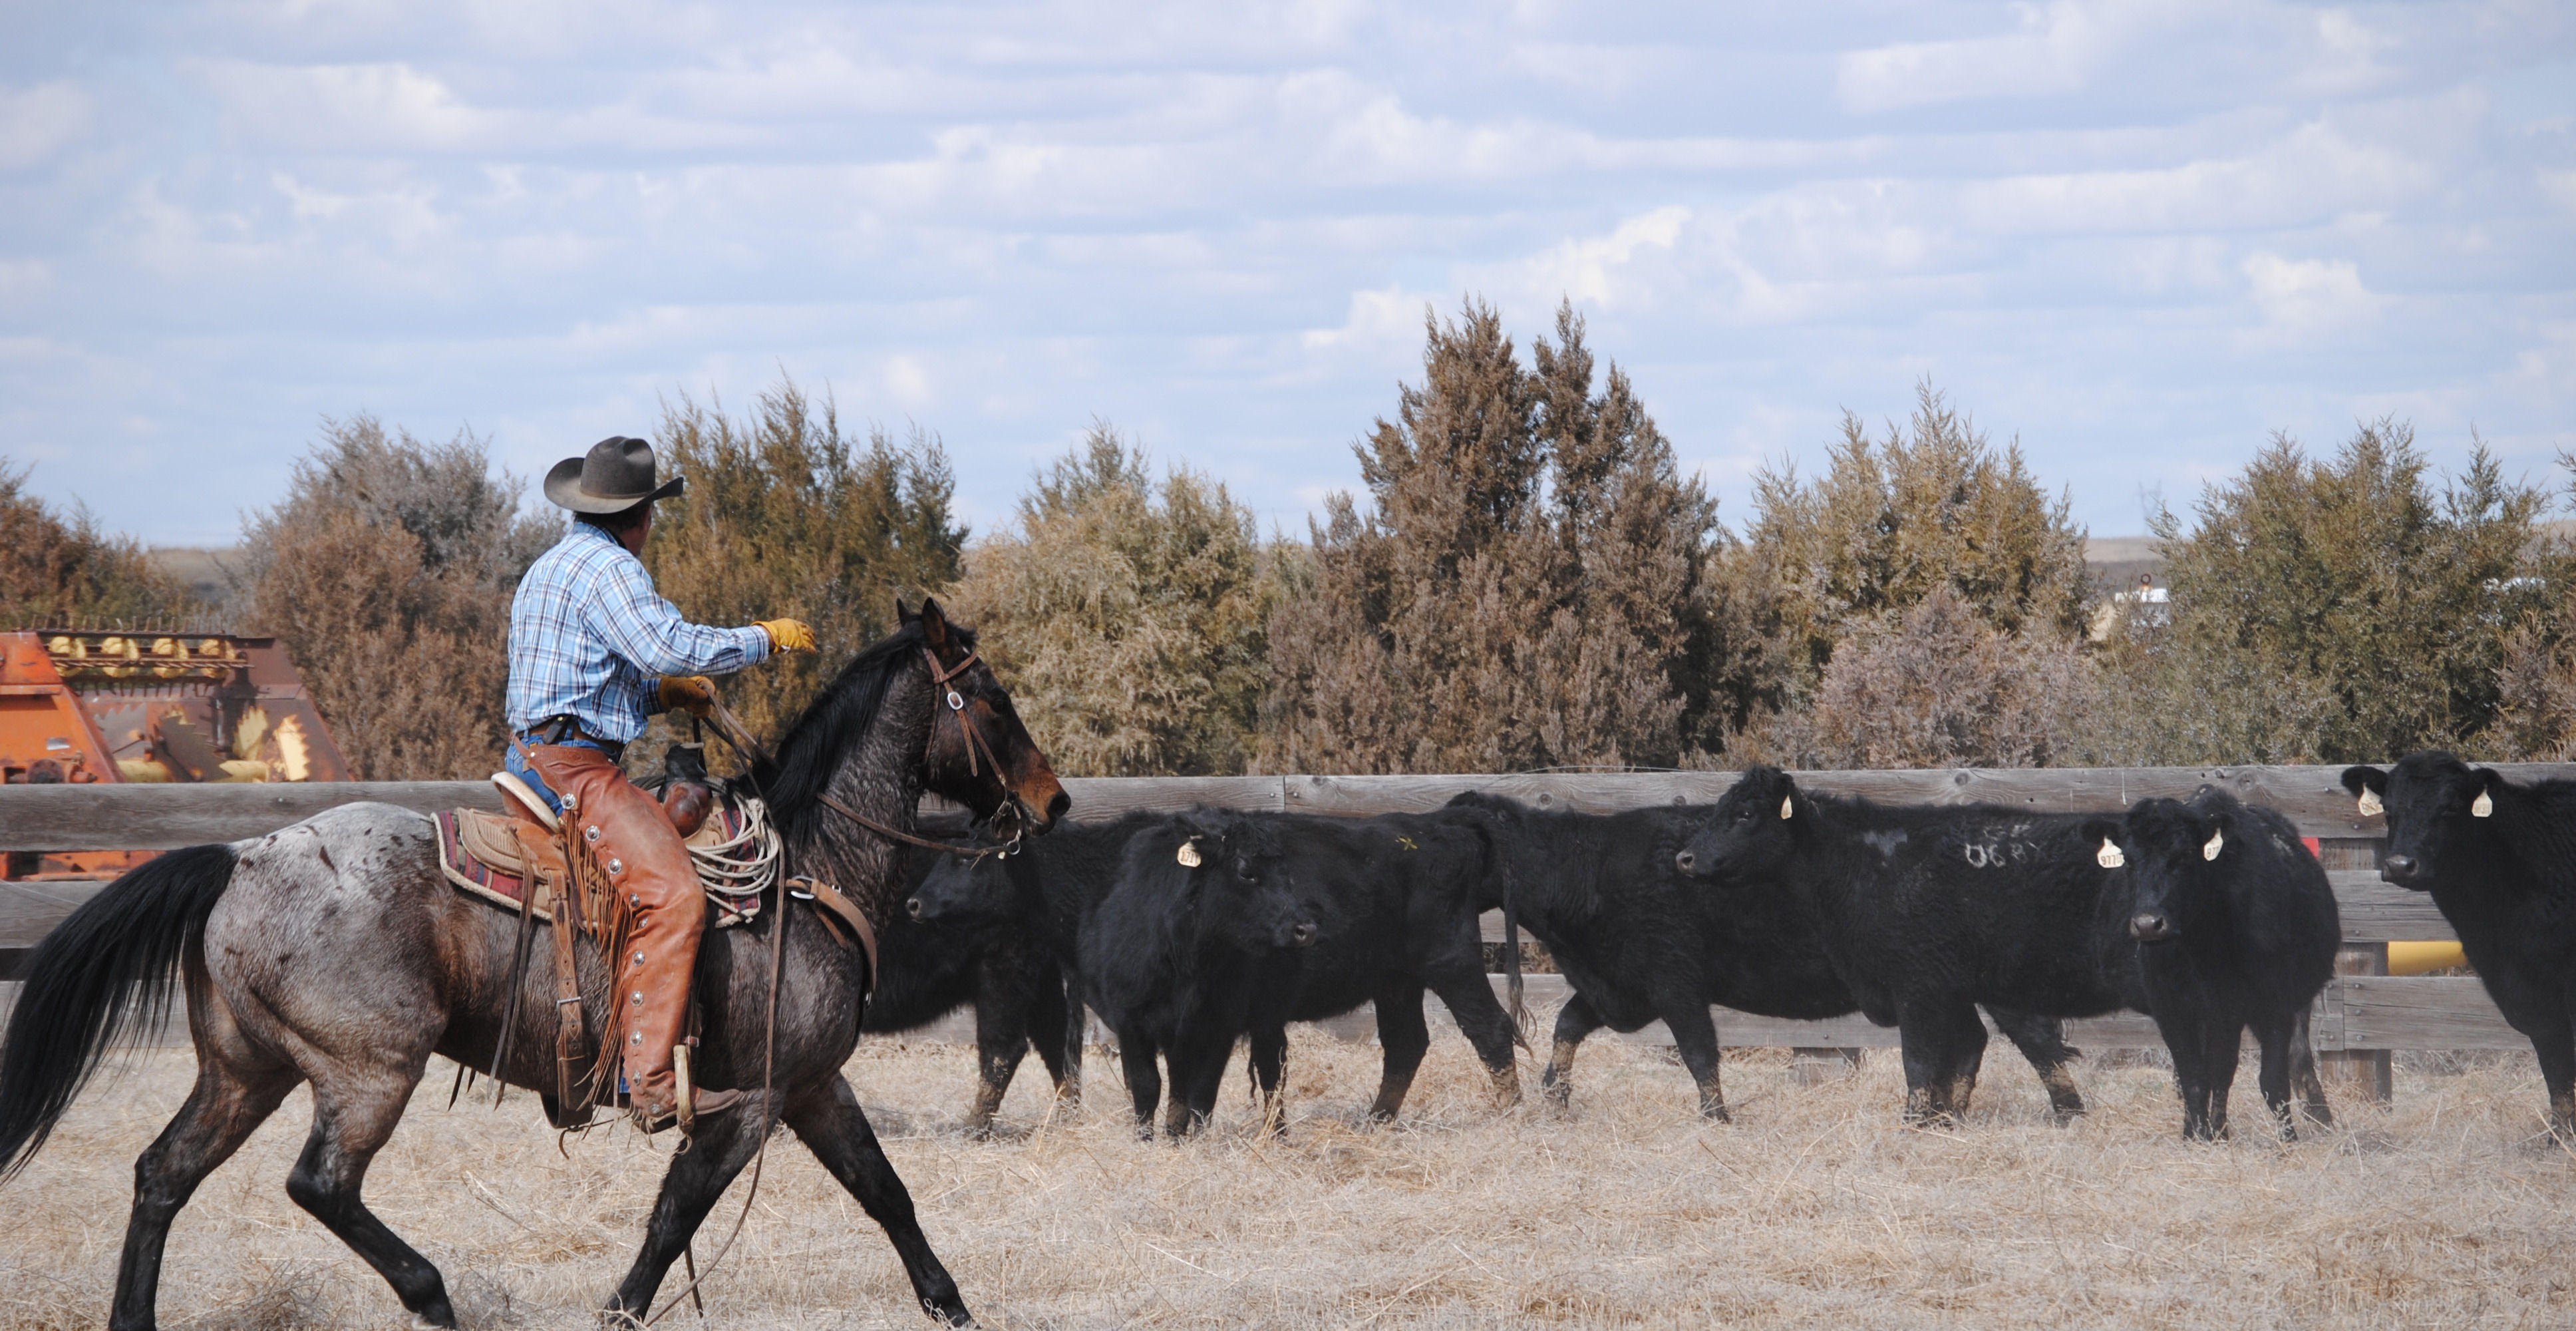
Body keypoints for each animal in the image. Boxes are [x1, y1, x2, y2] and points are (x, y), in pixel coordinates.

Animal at [0, 602, 1066, 1328]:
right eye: (992, 700)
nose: (1051, 802)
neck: (802, 868)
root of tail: (244, 856)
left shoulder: (809, 1085)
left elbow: (888, 1194)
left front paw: (955, 1307)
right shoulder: (750, 1102)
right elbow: (674, 1217)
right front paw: (617, 1311)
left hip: (244, 1069)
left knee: (162, 1174)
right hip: (367, 1072)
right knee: (320, 1185)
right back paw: (431, 1295)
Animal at [1463, 787, 2081, 1122]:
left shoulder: (1674, 981)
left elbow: (1698, 1053)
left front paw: (1717, 1119)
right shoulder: (1615, 986)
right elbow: (1566, 1027)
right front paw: (1556, 1097)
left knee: (2037, 1040)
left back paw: (2068, 1115)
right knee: (1978, 1039)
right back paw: (1954, 1115)